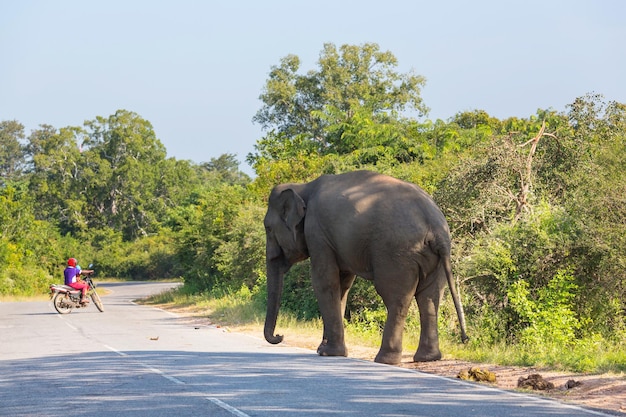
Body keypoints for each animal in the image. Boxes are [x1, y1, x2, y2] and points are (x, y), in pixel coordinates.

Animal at [260, 170, 466, 364]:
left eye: (268, 228)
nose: (280, 336)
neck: (303, 186)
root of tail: (435, 225)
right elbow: (342, 286)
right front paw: (324, 350)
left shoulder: (317, 233)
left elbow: (325, 282)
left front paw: (328, 353)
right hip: (435, 258)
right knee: (430, 298)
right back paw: (428, 358)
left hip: (396, 253)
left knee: (396, 298)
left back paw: (385, 359)